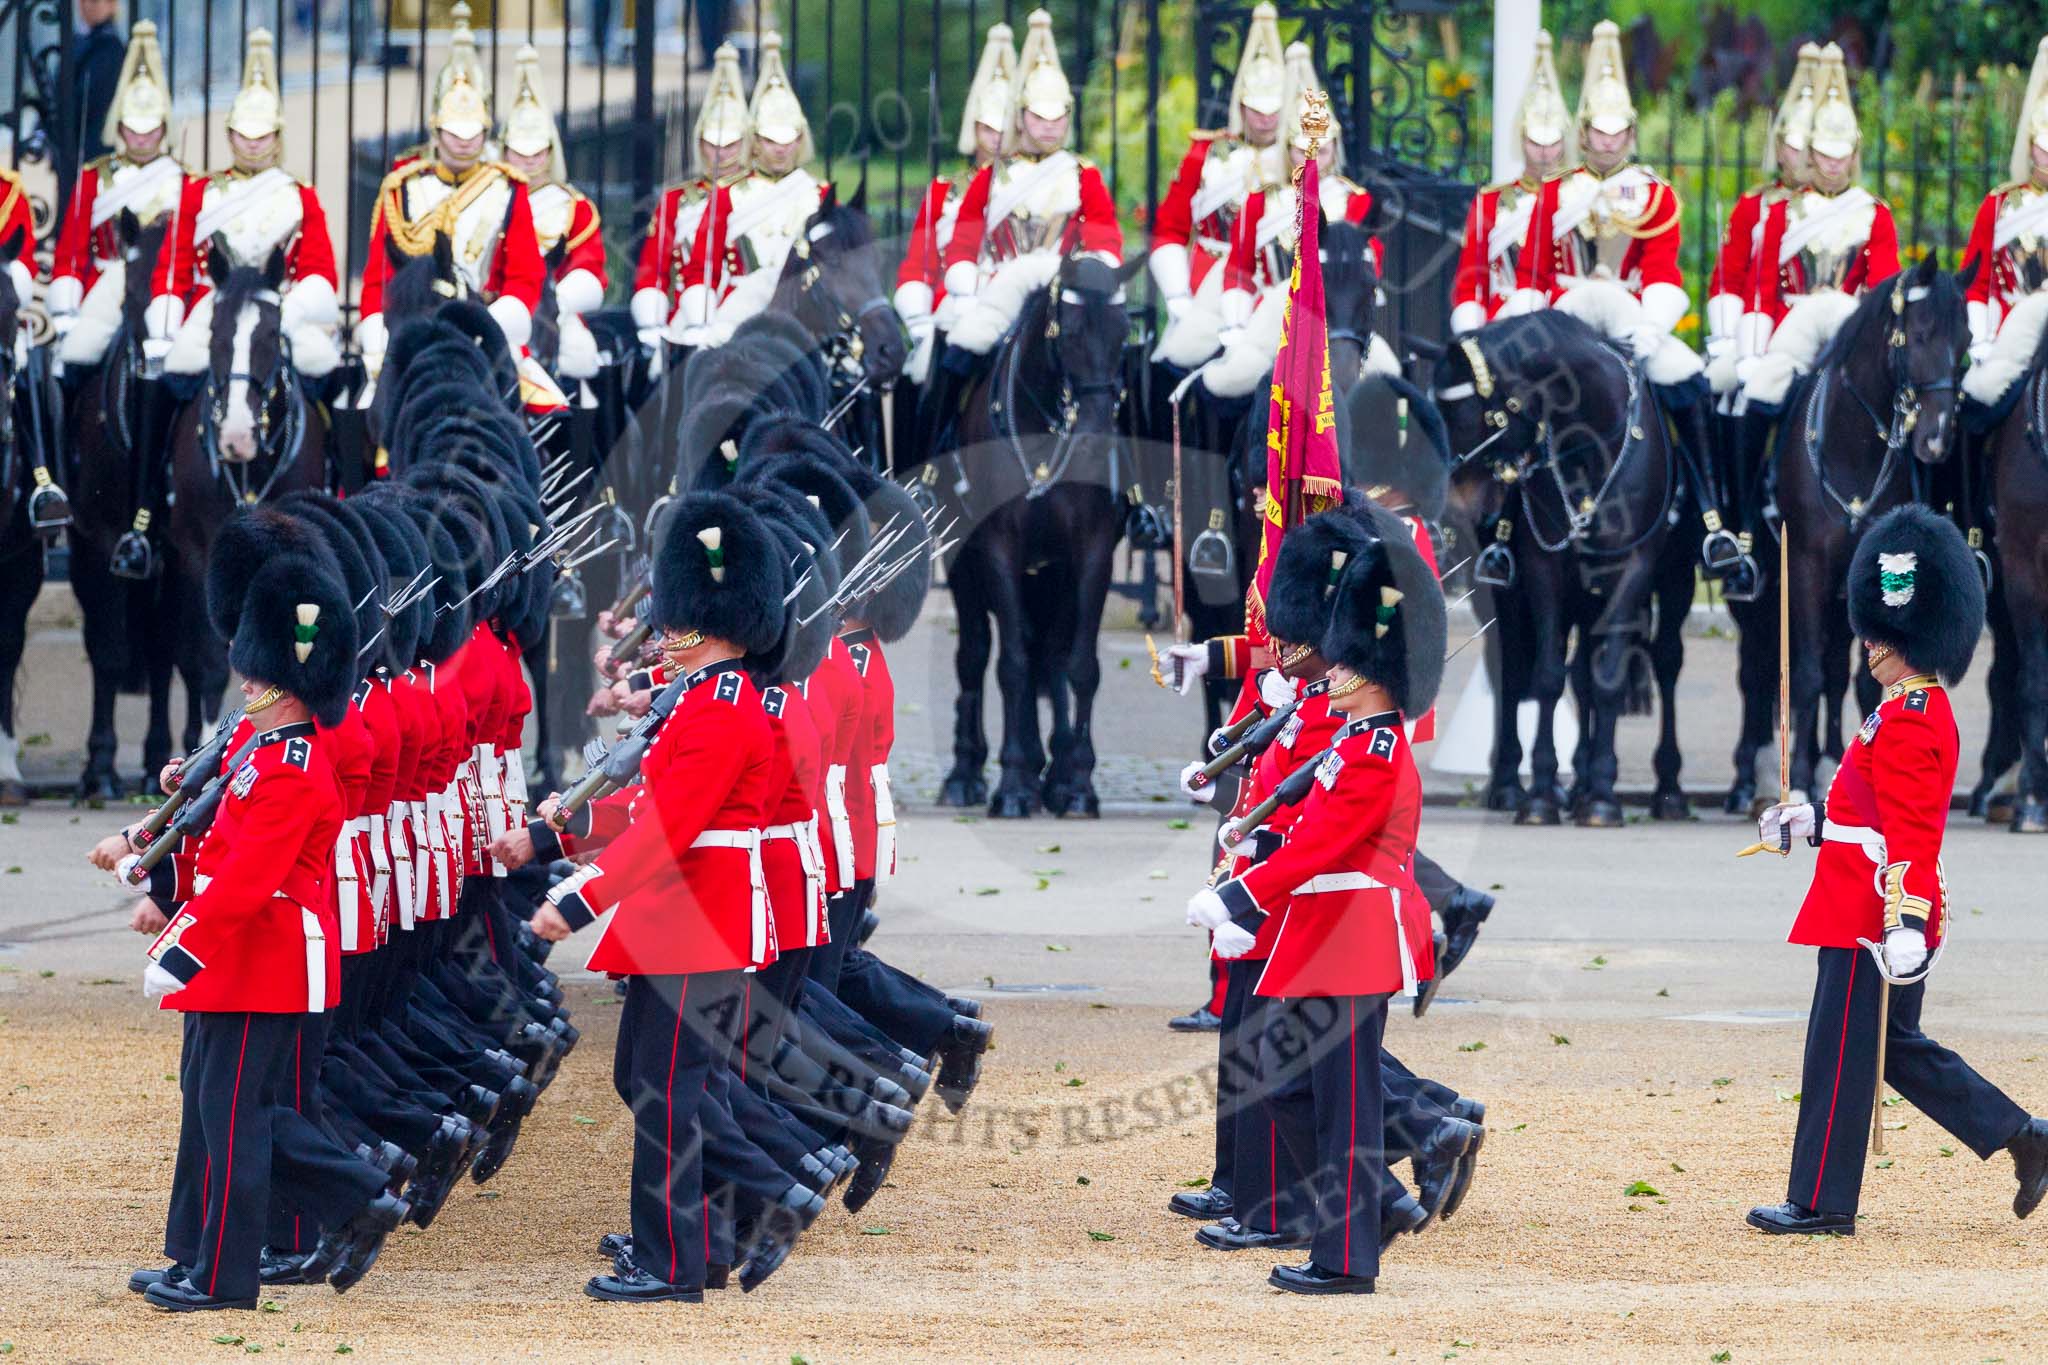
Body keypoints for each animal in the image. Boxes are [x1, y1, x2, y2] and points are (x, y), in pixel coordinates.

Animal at [933, 250, 1146, 818]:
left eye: (1124, 334)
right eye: (1067, 333)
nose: (1097, 439)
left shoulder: (1092, 555)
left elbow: (1079, 665)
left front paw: (1076, 783)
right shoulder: (998, 552)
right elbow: (1009, 664)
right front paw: (1011, 783)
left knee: (1046, 652)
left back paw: (1049, 771)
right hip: (966, 568)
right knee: (977, 654)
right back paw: (970, 774)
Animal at [1433, 309, 1687, 822]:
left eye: (1477, 415)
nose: (1454, 510)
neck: (1591, 449)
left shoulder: (1634, 570)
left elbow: (1607, 679)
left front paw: (1603, 795)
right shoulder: (1544, 570)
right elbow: (1548, 677)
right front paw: (1542, 793)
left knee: (1659, 663)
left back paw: (1661, 789)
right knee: (1515, 670)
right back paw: (1512, 785)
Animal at [1777, 258, 1966, 802]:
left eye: (1967, 340)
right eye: (1920, 334)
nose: (1936, 441)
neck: (1852, 448)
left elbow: (1863, 680)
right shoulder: (1806, 566)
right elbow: (1807, 673)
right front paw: (1799, 781)